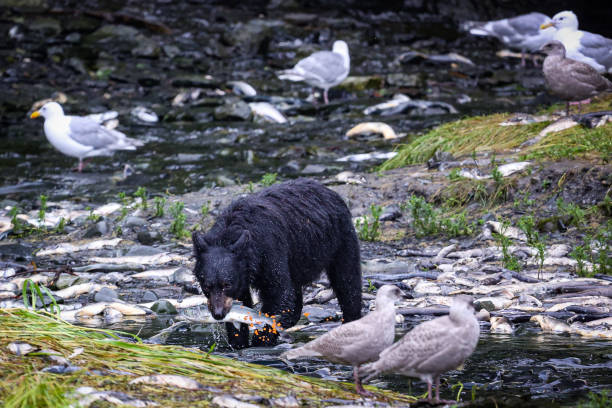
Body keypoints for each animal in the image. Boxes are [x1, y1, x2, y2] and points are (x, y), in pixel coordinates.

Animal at [194, 178, 360, 348]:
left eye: (227, 284)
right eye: (206, 286)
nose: (218, 314)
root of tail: (328, 190)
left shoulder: (270, 251)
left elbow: (278, 292)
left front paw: (261, 340)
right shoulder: (242, 272)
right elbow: (242, 300)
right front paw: (238, 340)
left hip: (340, 238)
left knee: (347, 281)